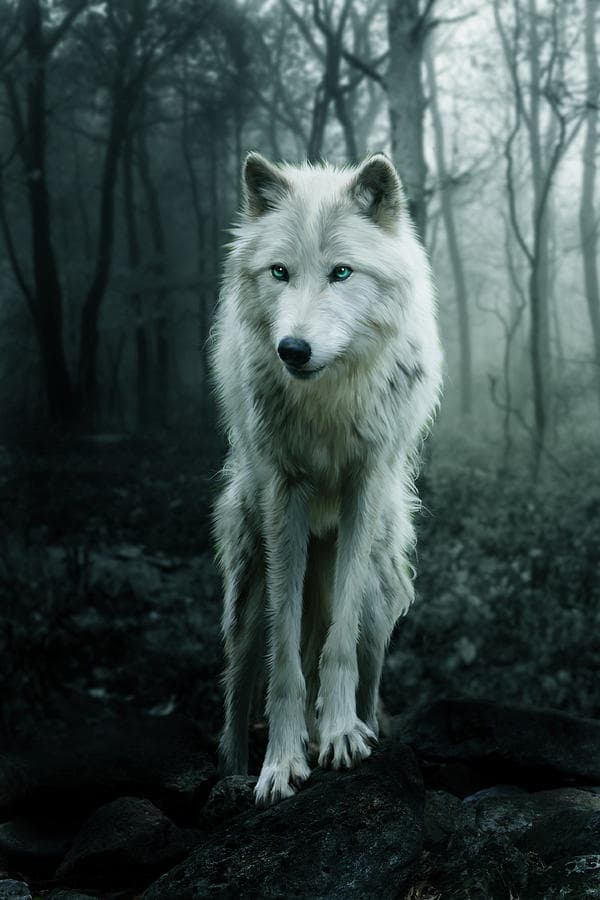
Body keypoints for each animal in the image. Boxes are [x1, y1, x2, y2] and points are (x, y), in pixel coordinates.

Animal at [210, 152, 442, 806]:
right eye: (280, 272)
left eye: (342, 272)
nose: (293, 348)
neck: (329, 398)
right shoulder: (284, 496)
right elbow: (284, 659)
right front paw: (280, 762)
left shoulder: (363, 488)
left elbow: (336, 647)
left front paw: (339, 735)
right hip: (248, 577)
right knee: (240, 678)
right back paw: (233, 771)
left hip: (382, 587)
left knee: (361, 659)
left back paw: (358, 727)